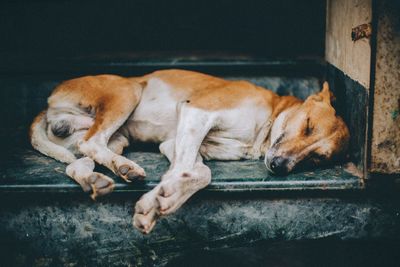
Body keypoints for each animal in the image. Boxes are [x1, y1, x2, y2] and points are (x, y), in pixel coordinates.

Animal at [30, 69, 350, 234]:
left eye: (317, 158)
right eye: (307, 125)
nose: (280, 166)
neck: (267, 122)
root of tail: (48, 102)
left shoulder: (175, 143)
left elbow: (200, 173)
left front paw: (166, 198)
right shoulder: (196, 112)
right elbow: (190, 171)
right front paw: (155, 200)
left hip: (114, 138)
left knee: (78, 162)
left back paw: (101, 177)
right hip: (127, 92)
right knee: (91, 143)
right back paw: (125, 169)